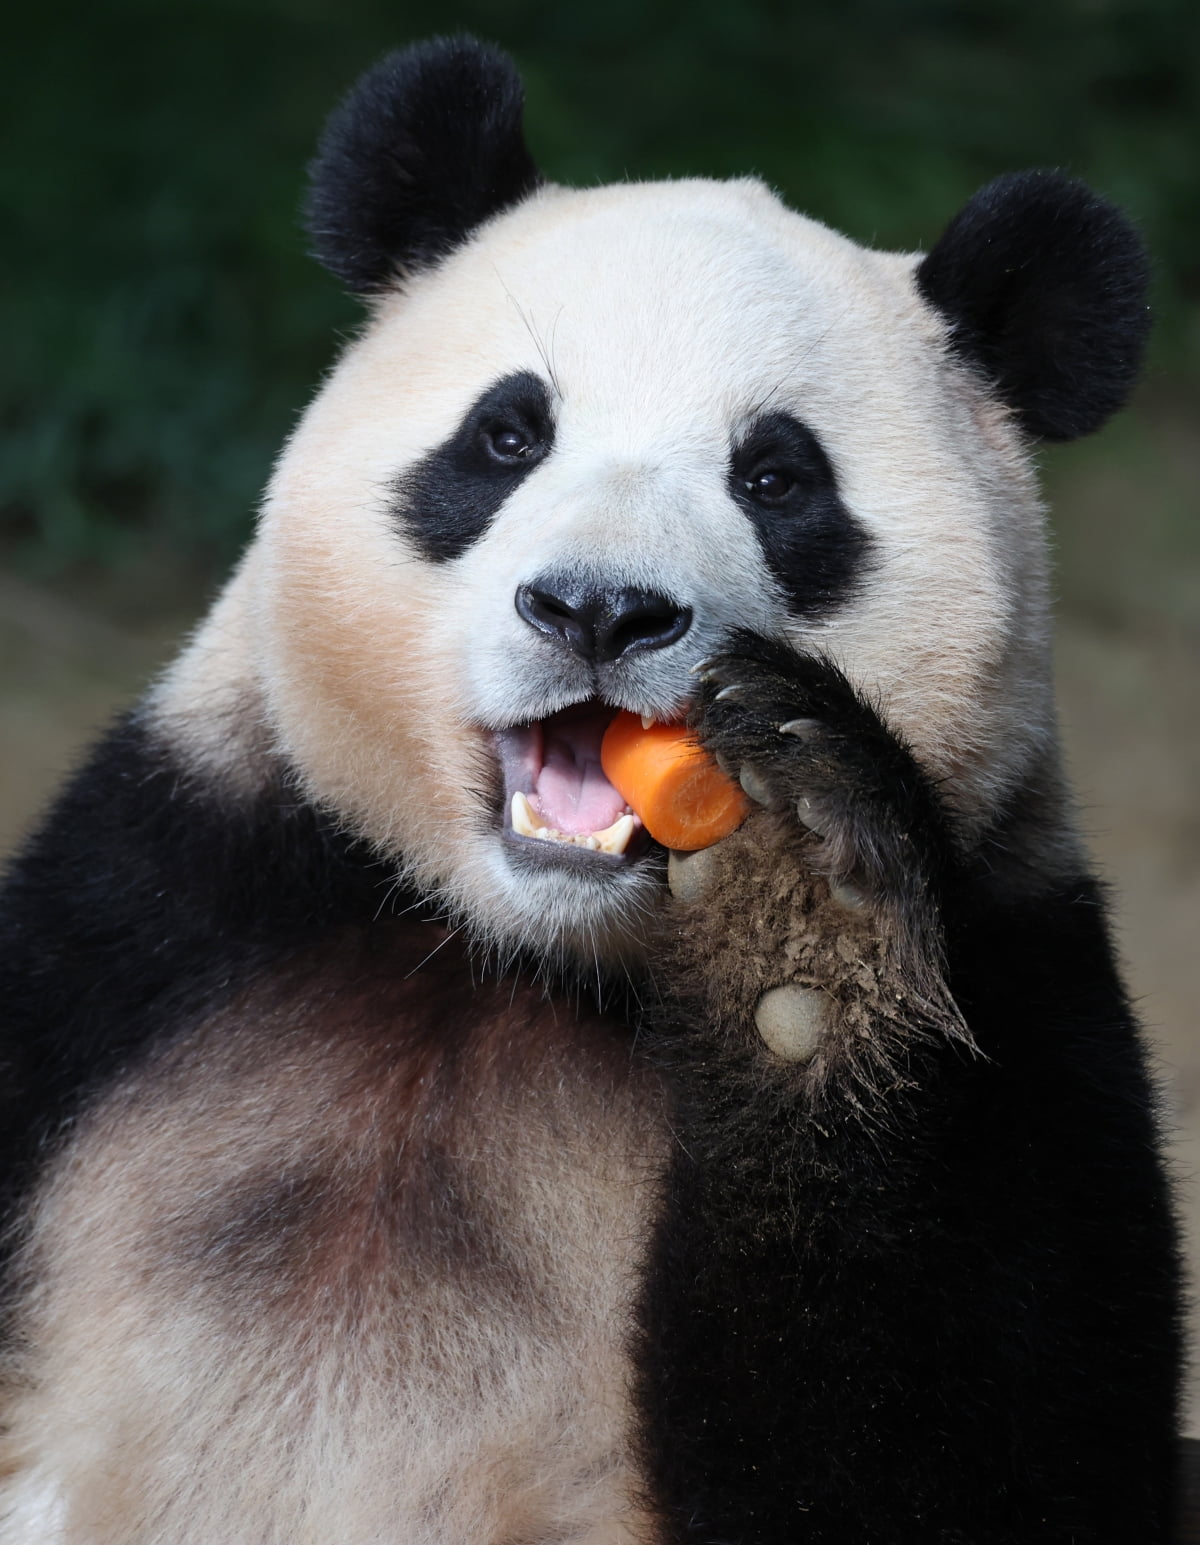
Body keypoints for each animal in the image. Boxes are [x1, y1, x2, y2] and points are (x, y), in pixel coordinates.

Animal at [0, 30, 1179, 1538]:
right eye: (508, 437)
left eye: (777, 477)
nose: (600, 610)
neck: (512, 964)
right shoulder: (143, 933)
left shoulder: (1022, 1001)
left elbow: (979, 1447)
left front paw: (803, 924)